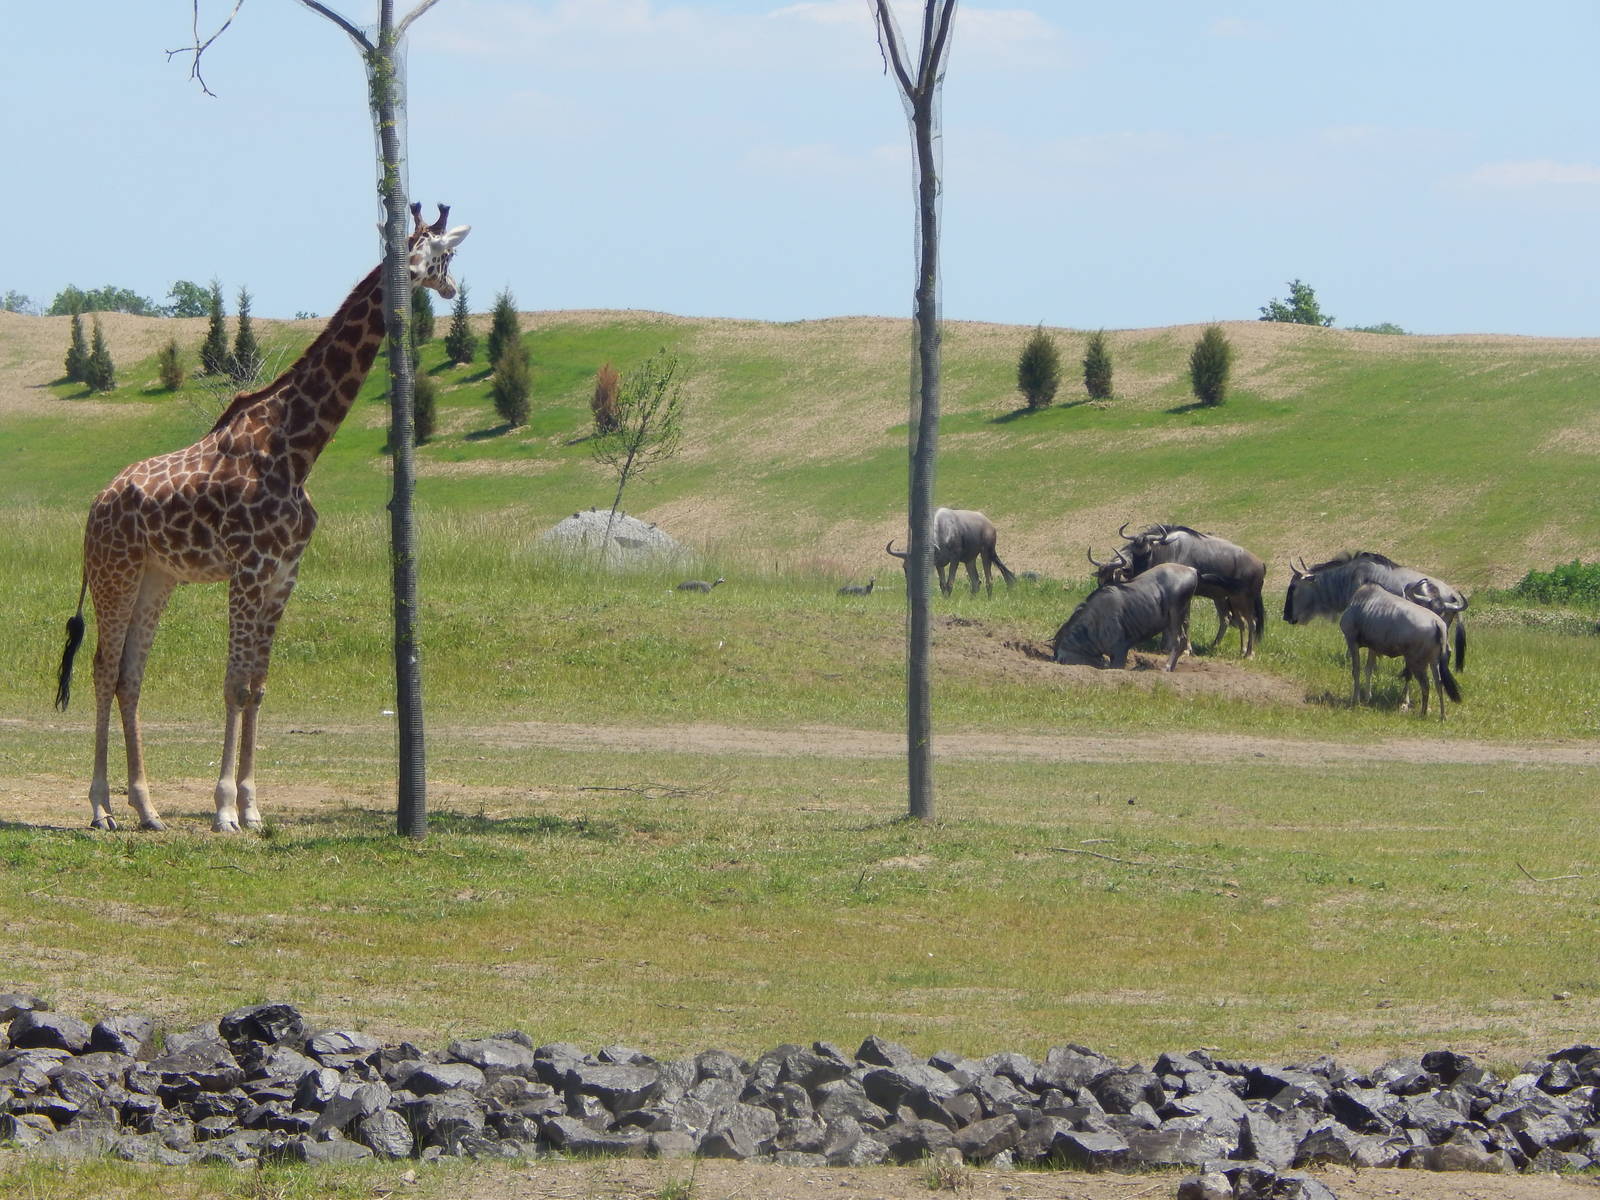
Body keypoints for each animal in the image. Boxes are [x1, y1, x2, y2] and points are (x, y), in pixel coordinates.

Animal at [55, 204, 470, 833]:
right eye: (428, 252)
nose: (443, 285)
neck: (296, 448)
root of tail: (94, 508)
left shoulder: (283, 571)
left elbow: (256, 685)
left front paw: (252, 807)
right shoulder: (249, 567)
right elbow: (232, 684)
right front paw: (224, 808)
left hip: (157, 577)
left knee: (130, 676)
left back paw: (148, 808)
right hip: (114, 571)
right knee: (104, 668)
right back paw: (102, 807)